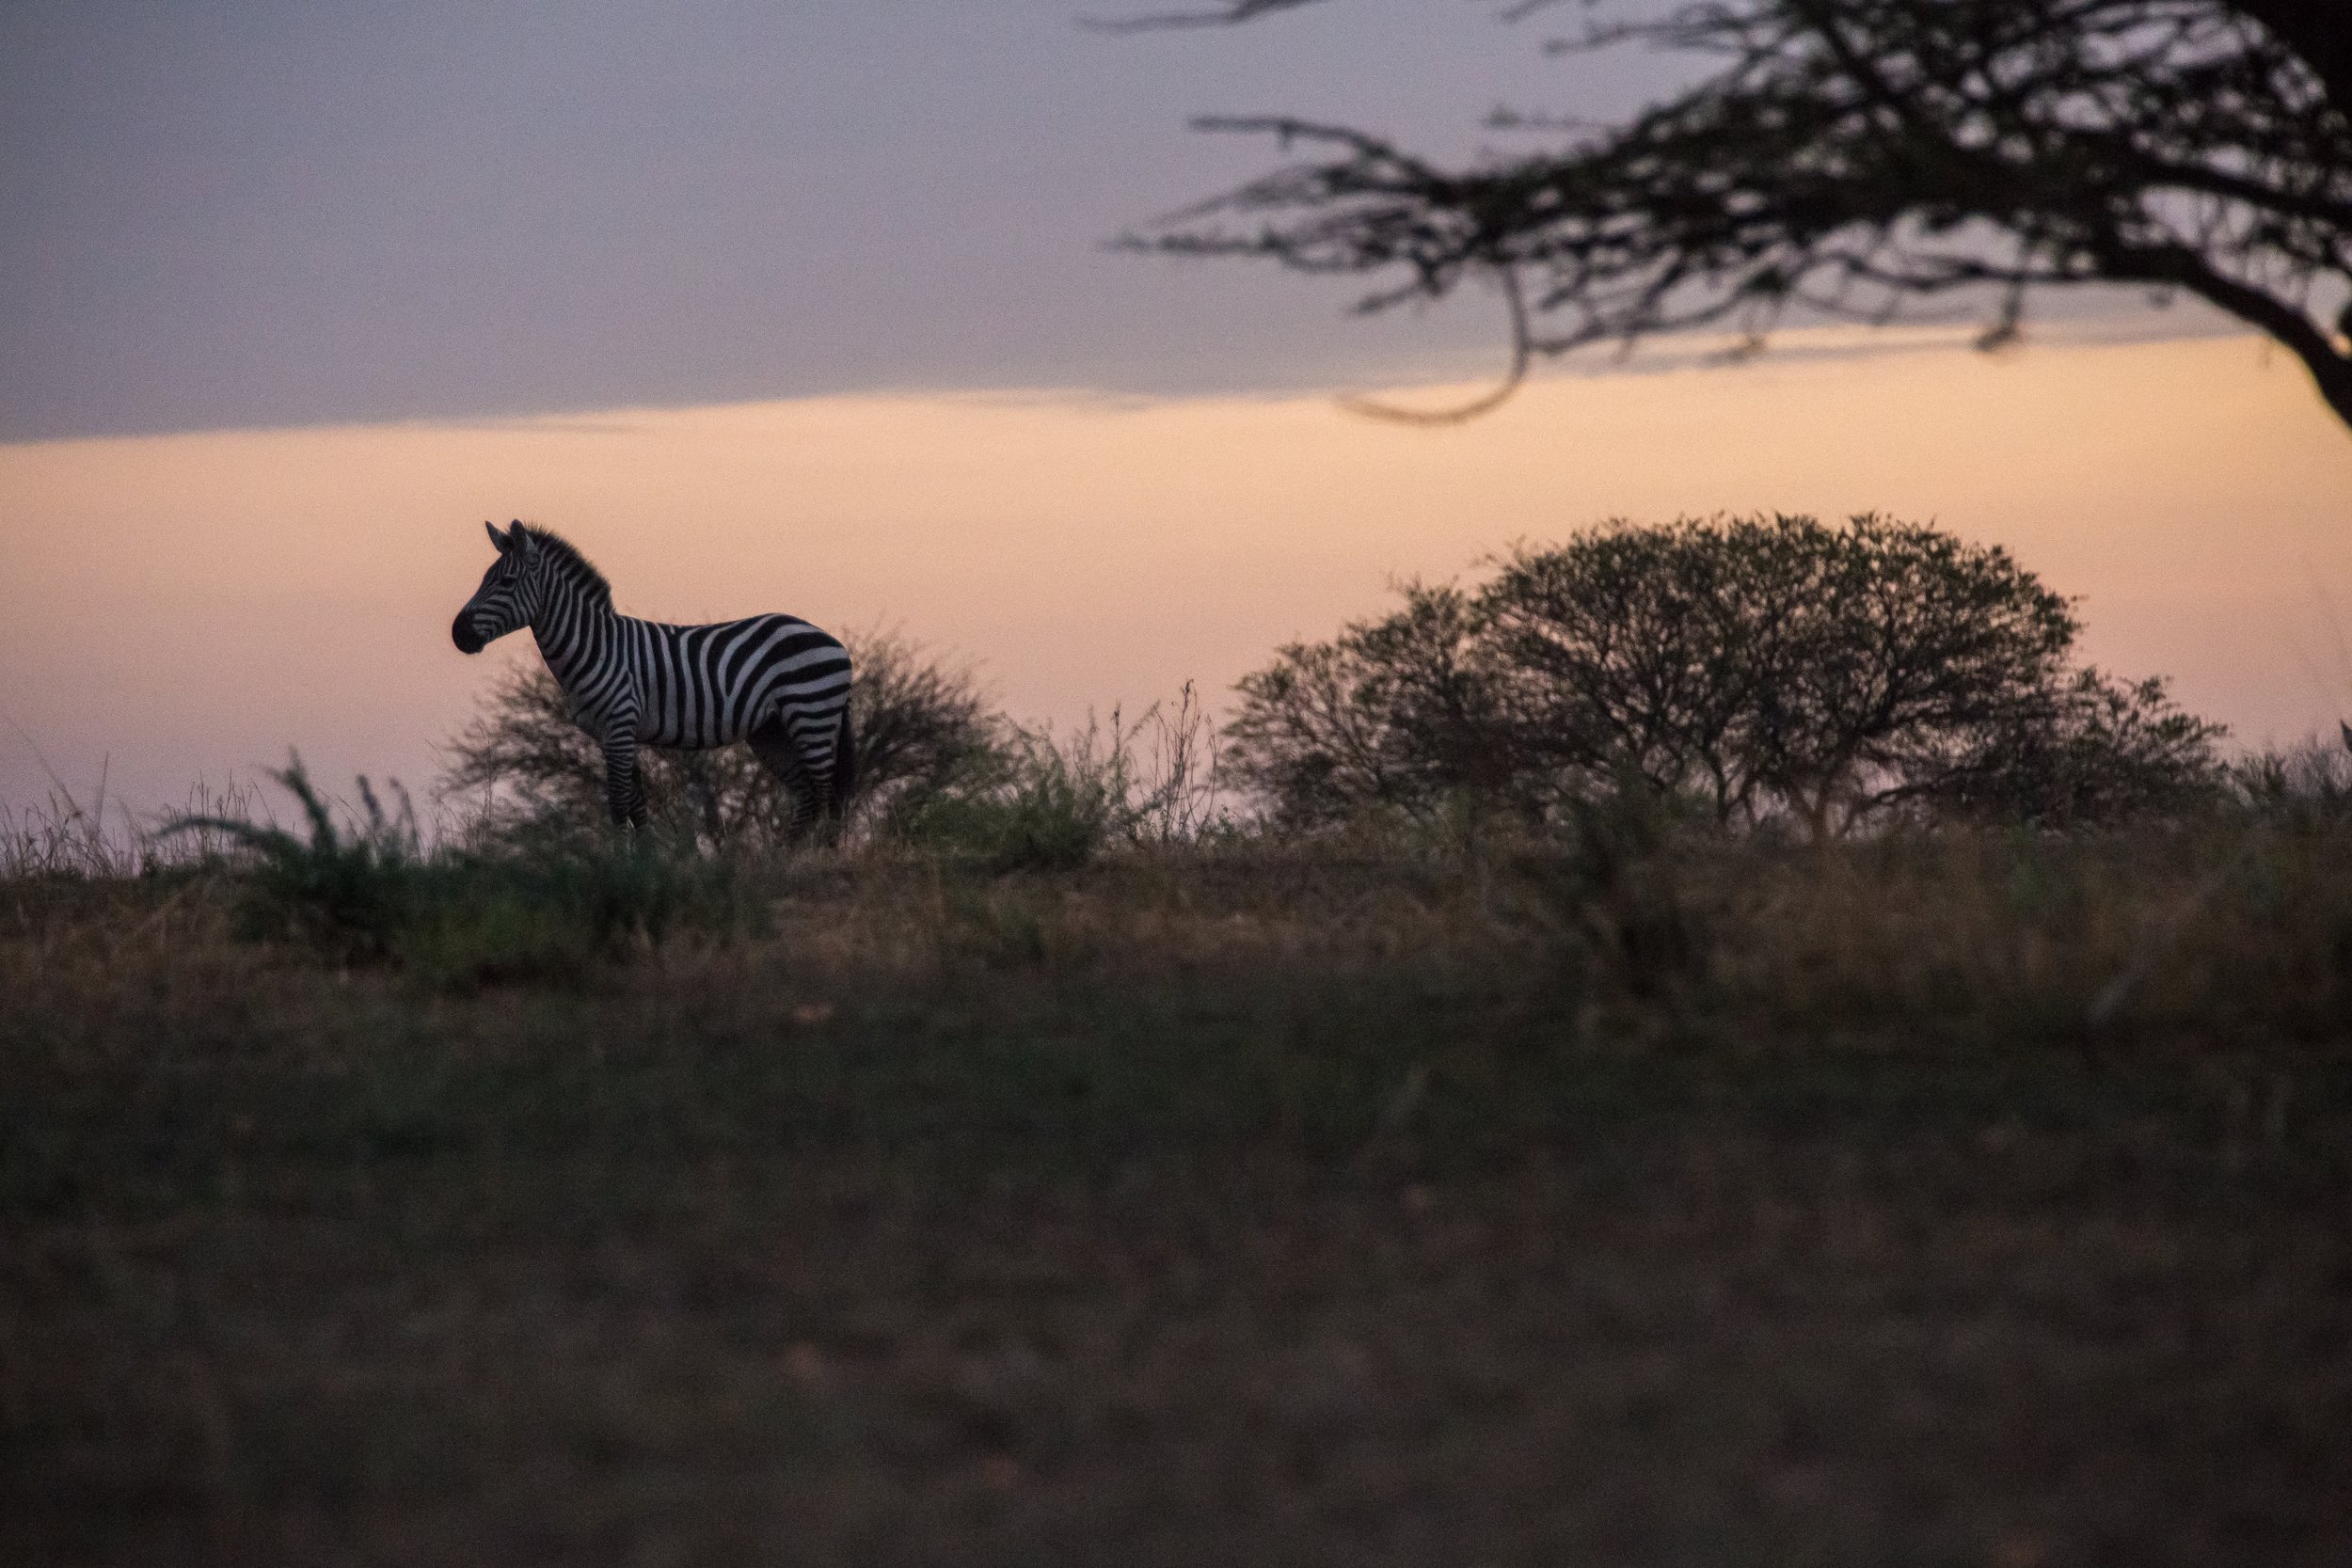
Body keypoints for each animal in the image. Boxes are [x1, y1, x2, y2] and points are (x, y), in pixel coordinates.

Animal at [451, 520, 855, 840]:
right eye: (484, 580)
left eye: (506, 581)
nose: (458, 634)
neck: (596, 646)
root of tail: (833, 642)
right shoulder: (609, 734)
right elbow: (636, 804)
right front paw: (645, 864)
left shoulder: (620, 724)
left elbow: (618, 804)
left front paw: (621, 867)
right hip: (770, 729)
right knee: (805, 794)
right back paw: (783, 861)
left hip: (812, 713)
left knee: (827, 793)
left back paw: (823, 860)